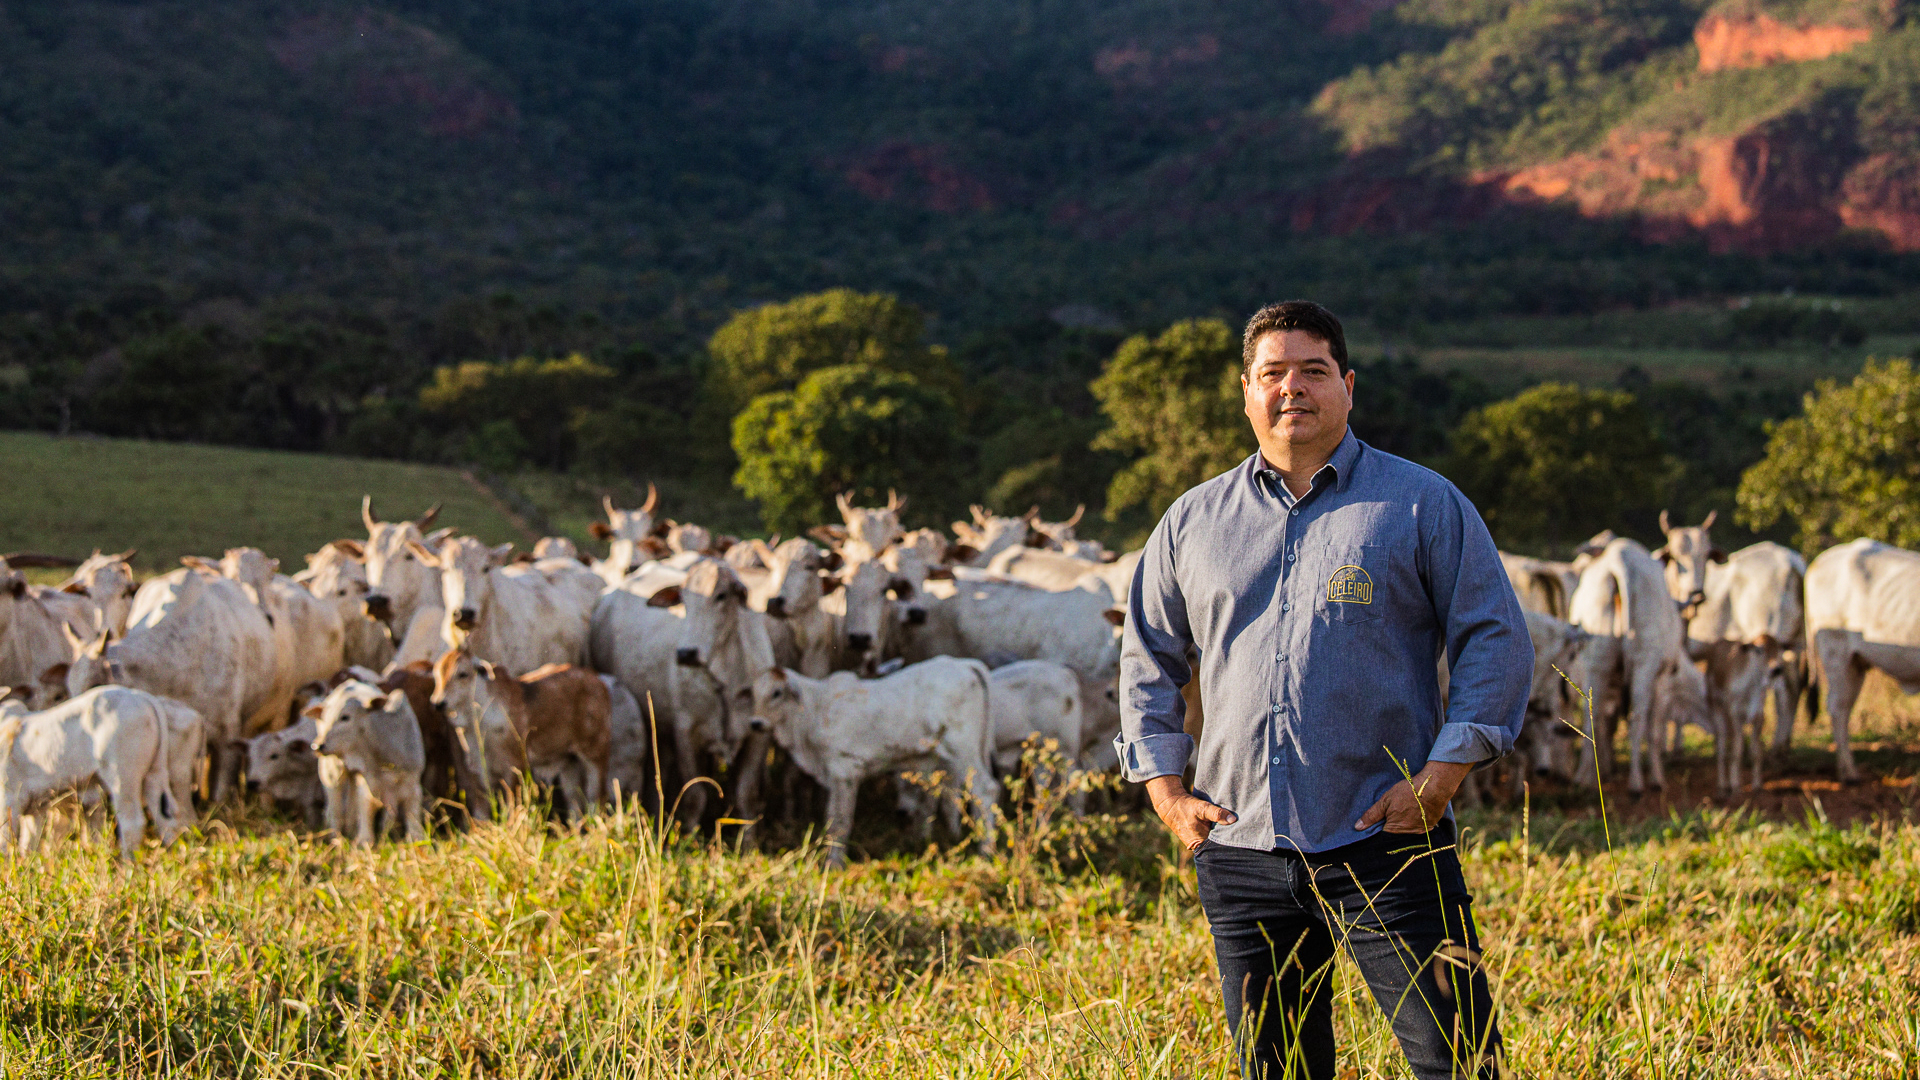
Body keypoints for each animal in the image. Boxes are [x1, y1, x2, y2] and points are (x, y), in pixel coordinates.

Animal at [741, 645, 998, 864]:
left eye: (777, 693)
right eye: (754, 693)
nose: (755, 723)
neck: (815, 710)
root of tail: (965, 665)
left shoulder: (845, 771)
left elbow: (840, 821)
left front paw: (834, 864)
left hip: (962, 749)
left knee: (985, 790)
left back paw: (986, 852)